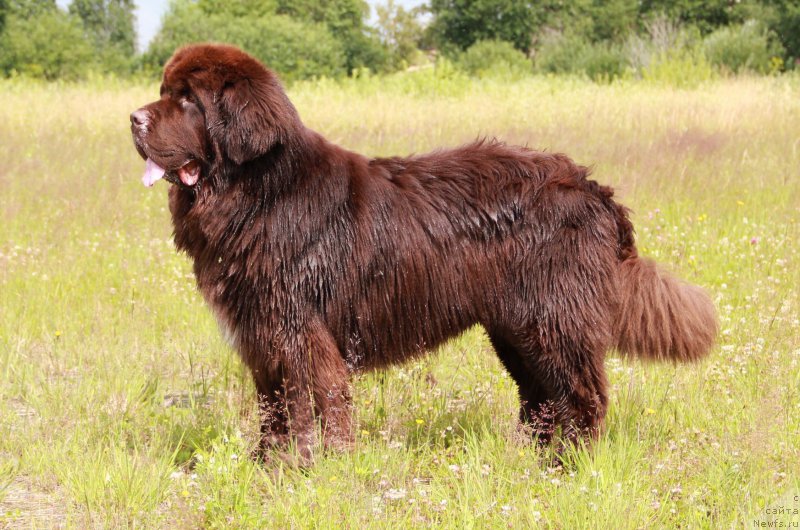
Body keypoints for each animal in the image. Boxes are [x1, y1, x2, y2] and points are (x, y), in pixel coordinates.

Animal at [131, 44, 720, 458]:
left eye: (188, 100)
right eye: (163, 90)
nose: (134, 118)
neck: (258, 191)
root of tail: (592, 186)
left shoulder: (299, 330)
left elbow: (308, 407)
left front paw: (309, 469)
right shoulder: (262, 334)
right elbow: (273, 411)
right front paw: (267, 471)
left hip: (554, 318)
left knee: (581, 395)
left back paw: (567, 468)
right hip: (516, 328)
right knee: (543, 400)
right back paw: (530, 464)